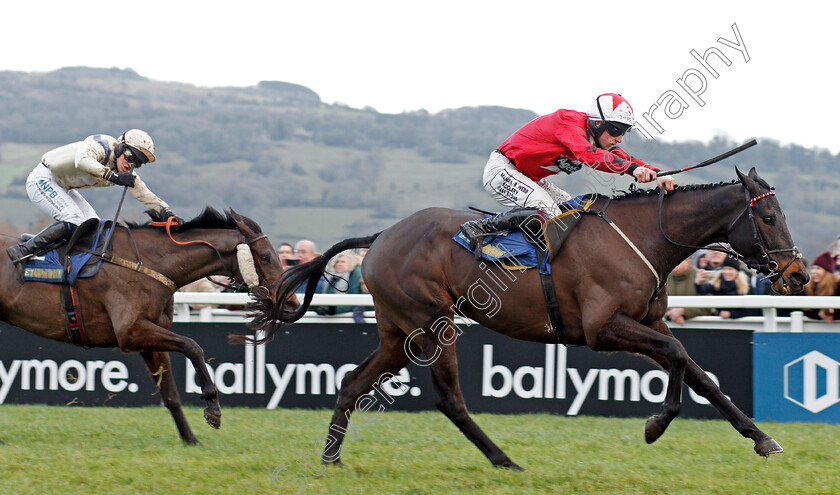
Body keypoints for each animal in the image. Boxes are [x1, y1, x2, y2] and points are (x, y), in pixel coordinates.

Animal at [0, 207, 296, 444]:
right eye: (266, 256)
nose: (291, 303)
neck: (148, 264)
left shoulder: (148, 339)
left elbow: (170, 393)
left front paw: (190, 439)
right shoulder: (131, 332)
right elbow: (193, 346)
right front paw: (213, 408)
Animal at [266, 169, 812, 470]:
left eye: (782, 216)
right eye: (768, 218)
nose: (799, 273)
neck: (643, 236)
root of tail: (380, 237)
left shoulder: (651, 322)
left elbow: (701, 375)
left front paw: (762, 438)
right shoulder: (600, 329)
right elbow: (679, 359)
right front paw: (655, 426)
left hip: (398, 332)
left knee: (353, 382)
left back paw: (331, 457)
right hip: (432, 323)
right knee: (449, 399)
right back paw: (504, 460)